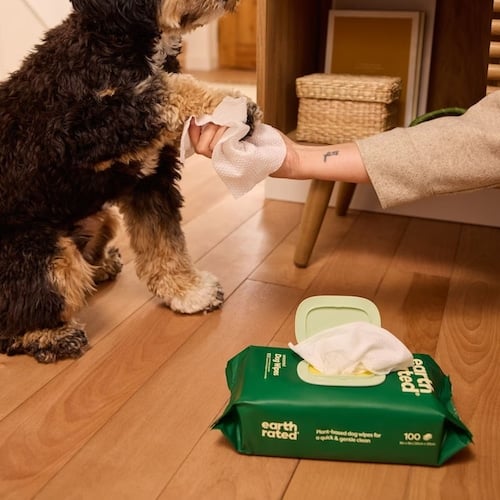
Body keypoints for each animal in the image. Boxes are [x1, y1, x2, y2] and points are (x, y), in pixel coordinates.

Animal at [0, 0, 258, 362]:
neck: (115, 41)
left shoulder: (150, 177)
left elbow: (164, 242)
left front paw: (188, 291)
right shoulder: (82, 131)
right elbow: (163, 89)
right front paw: (229, 102)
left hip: (100, 219)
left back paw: (100, 267)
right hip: (41, 253)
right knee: (18, 316)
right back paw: (50, 336)